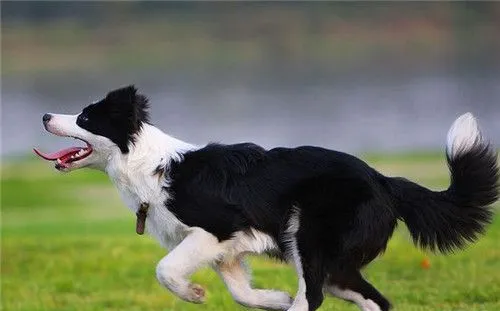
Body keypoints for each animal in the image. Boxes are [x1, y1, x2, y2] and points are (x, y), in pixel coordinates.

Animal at [33, 86, 498, 311]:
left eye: (85, 117)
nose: (45, 115)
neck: (149, 166)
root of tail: (385, 180)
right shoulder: (227, 252)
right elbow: (242, 293)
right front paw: (272, 299)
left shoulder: (217, 229)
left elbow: (165, 269)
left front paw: (194, 295)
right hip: (335, 263)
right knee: (373, 299)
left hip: (309, 239)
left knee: (313, 298)